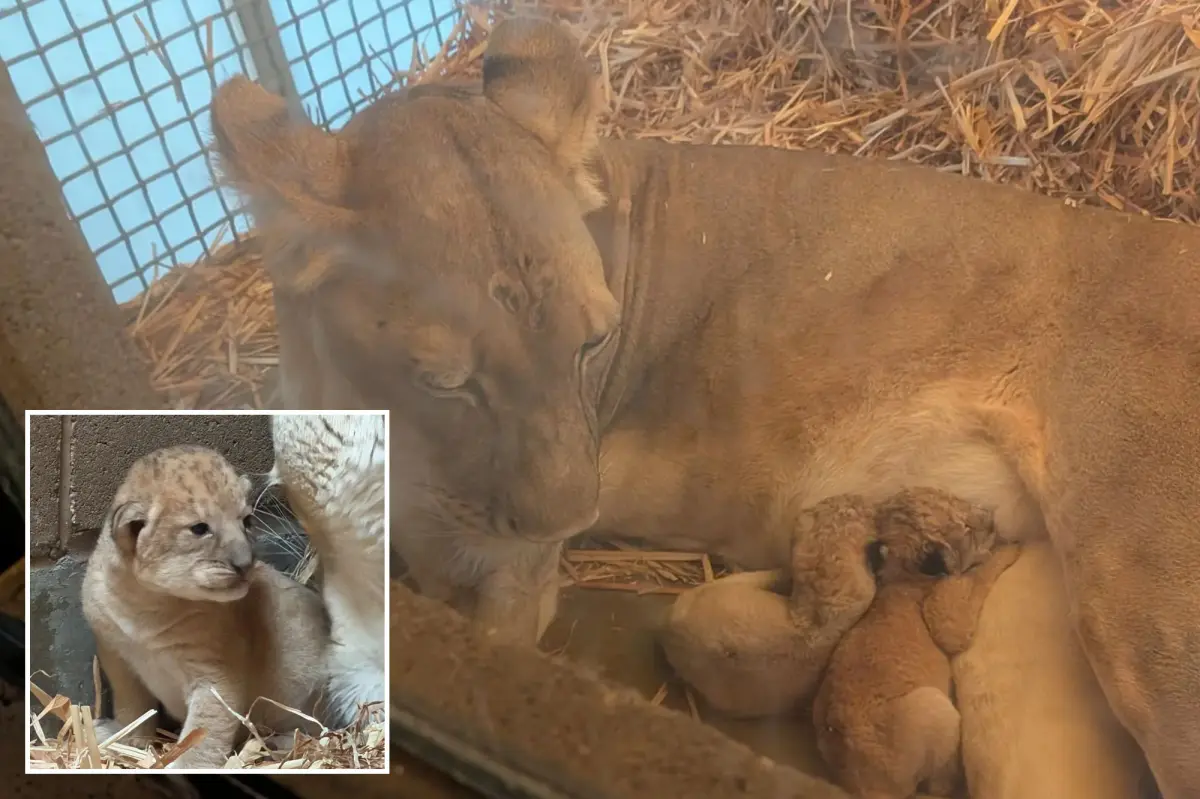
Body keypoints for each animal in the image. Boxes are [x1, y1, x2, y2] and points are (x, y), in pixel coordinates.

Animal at [81, 446, 330, 768]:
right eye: (200, 529)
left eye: (246, 522)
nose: (246, 564)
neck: (147, 604)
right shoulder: (117, 657)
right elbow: (133, 707)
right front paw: (126, 738)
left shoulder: (216, 676)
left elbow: (205, 729)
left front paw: (186, 765)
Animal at [812, 490, 1018, 799]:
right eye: (967, 529)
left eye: (957, 500)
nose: (991, 519)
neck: (903, 576)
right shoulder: (946, 617)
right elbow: (976, 574)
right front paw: (1008, 549)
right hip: (936, 707)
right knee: (938, 786)